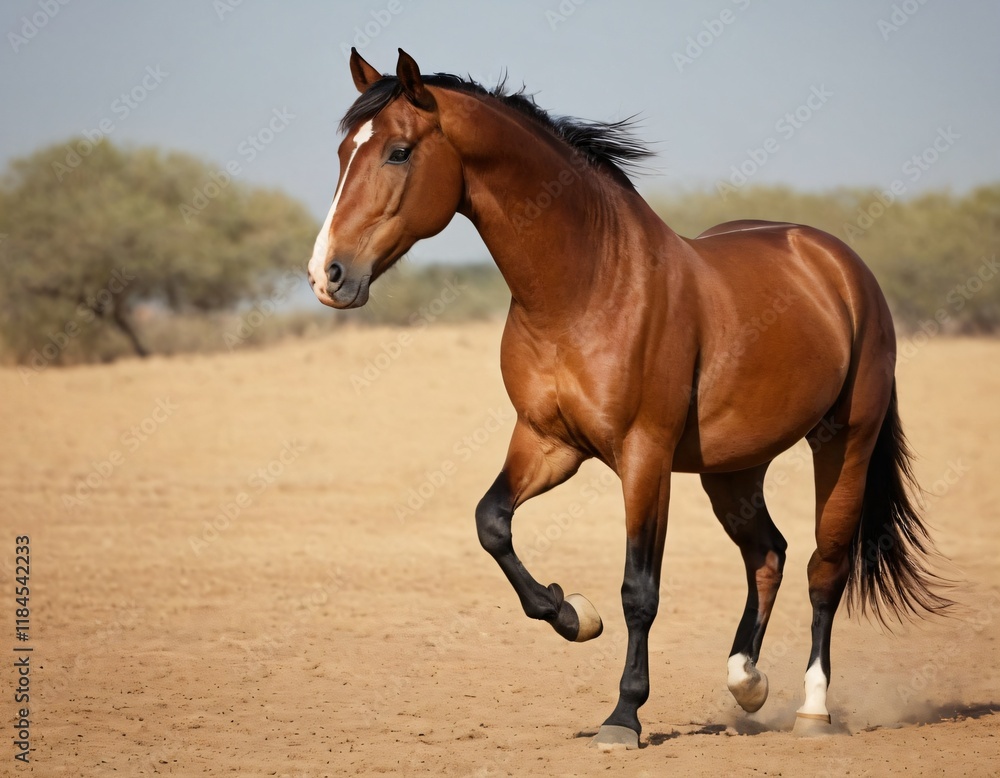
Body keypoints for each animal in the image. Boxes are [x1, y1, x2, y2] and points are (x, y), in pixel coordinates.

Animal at [307, 48, 950, 749]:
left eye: (398, 152)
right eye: (342, 151)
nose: (326, 275)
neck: (587, 286)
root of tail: (838, 263)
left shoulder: (644, 457)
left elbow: (640, 589)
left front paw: (623, 715)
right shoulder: (548, 443)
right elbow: (491, 523)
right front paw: (570, 612)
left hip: (843, 445)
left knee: (823, 569)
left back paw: (812, 710)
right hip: (733, 469)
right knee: (768, 554)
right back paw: (745, 681)